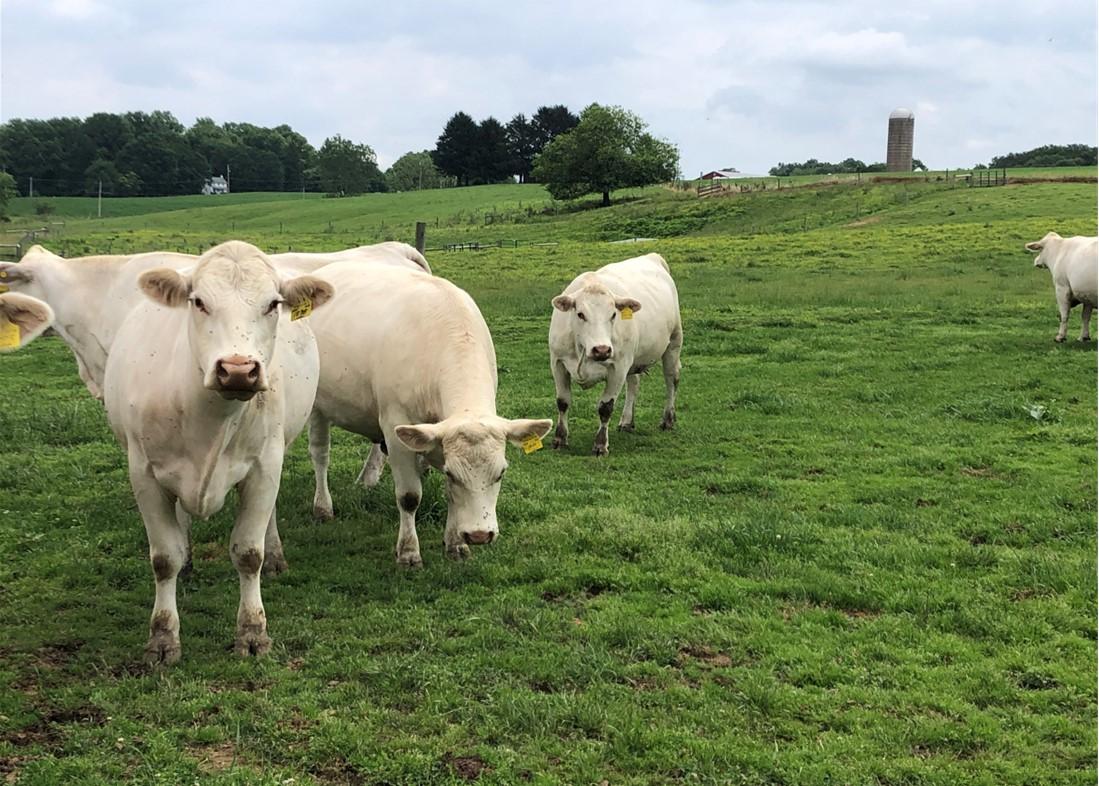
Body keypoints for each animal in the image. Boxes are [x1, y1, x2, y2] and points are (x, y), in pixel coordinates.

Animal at [103, 241, 333, 664]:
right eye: (198, 301)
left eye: (273, 303)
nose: (239, 369)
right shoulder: (144, 473)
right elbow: (164, 557)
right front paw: (163, 638)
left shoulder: (264, 467)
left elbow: (248, 552)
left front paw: (253, 632)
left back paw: (275, 554)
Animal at [305, 262, 552, 565]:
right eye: (454, 474)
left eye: (501, 473)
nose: (479, 535)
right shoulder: (396, 427)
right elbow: (409, 496)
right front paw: (409, 552)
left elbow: (450, 497)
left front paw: (456, 544)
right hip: (317, 405)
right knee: (320, 455)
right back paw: (322, 507)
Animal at [549, 253, 682, 456]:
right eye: (580, 314)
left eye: (613, 315)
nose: (602, 349)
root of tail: (652, 256)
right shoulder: (557, 363)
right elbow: (563, 402)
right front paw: (560, 439)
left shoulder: (618, 367)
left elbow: (606, 408)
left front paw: (600, 444)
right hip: (633, 360)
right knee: (634, 384)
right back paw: (627, 421)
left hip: (674, 342)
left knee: (671, 380)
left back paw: (668, 419)